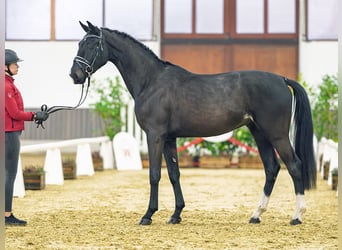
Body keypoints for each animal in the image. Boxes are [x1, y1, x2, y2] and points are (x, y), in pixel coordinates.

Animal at [69, 21, 316, 225]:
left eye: (92, 44)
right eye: (79, 43)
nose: (75, 75)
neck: (151, 81)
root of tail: (282, 79)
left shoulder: (155, 135)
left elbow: (154, 174)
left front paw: (148, 215)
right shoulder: (169, 139)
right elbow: (174, 174)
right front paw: (176, 214)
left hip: (276, 134)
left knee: (294, 165)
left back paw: (297, 216)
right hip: (259, 133)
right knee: (271, 168)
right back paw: (256, 215)